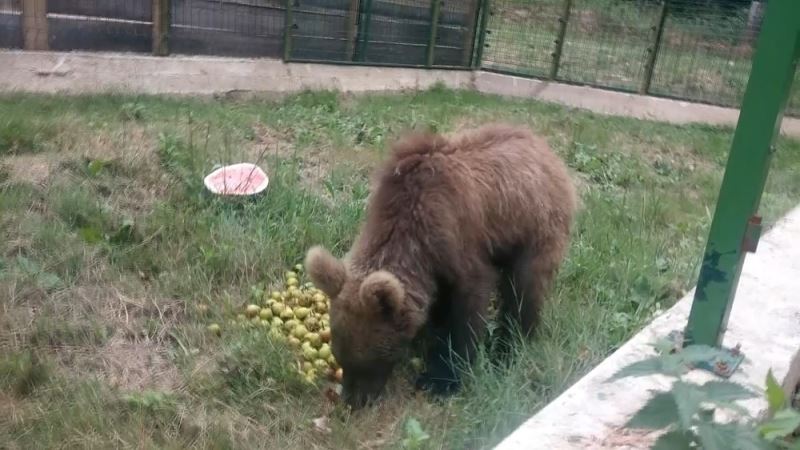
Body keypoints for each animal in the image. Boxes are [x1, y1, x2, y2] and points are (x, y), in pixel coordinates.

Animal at [302, 122, 576, 408]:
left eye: (367, 361)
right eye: (340, 356)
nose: (354, 401)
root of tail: (547, 150)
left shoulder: (456, 238)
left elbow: (468, 308)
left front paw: (440, 378)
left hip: (533, 224)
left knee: (525, 287)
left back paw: (511, 346)